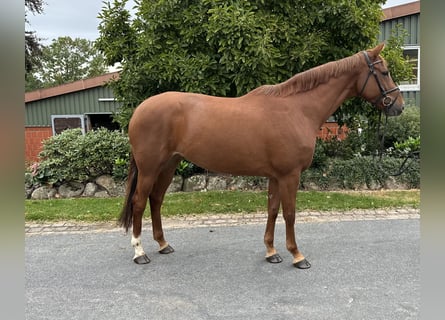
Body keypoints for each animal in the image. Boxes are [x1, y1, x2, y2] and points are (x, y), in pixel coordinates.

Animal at [117, 42, 402, 268]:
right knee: (140, 202)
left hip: (168, 165)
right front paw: (297, 256)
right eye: (385, 72)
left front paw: (271, 252)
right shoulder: (290, 175)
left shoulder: (276, 176)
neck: (297, 109)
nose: (399, 106)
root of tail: (140, 109)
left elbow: (273, 210)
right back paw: (140, 252)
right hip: (150, 167)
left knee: (156, 200)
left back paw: (163, 244)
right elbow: (290, 214)